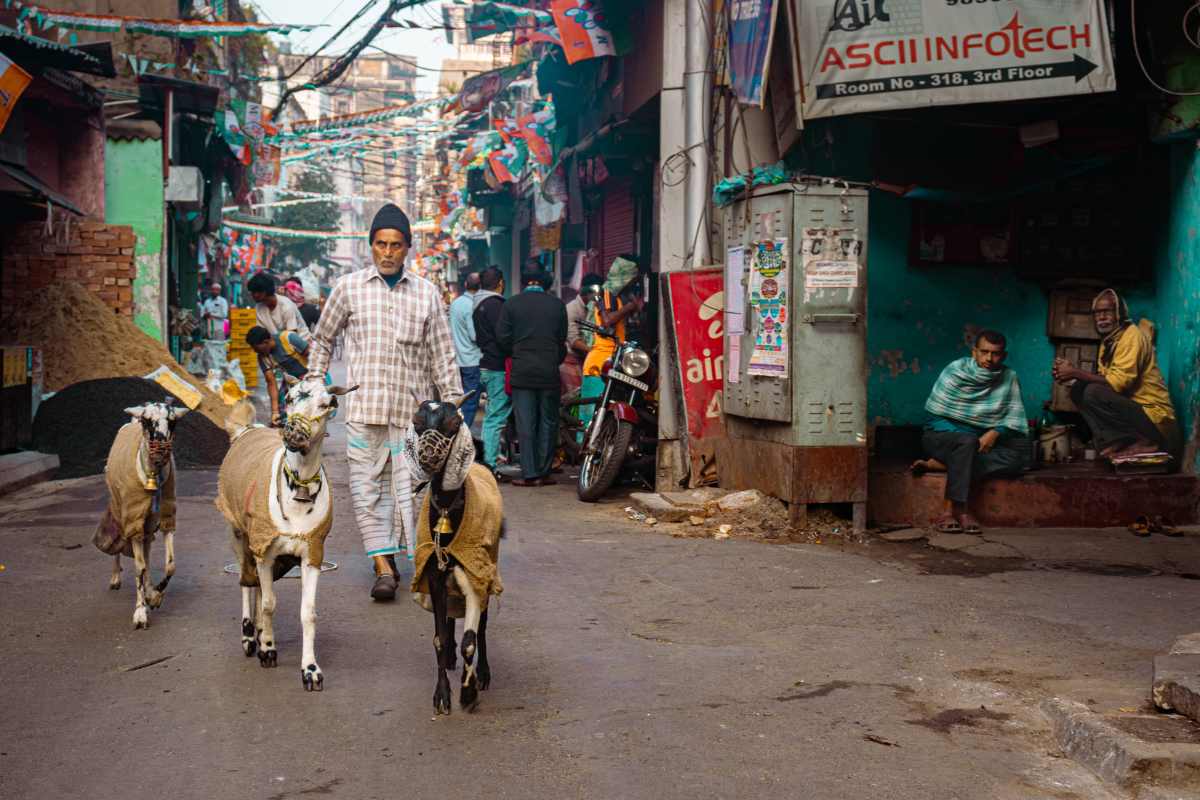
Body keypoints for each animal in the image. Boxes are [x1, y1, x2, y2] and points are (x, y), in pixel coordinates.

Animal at [217, 379, 355, 690]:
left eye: (327, 403)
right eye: (289, 397)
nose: (293, 432)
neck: (299, 488)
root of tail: (247, 429)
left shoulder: (313, 551)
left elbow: (308, 612)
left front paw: (310, 670)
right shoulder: (263, 547)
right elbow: (270, 603)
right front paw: (268, 649)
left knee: (257, 583)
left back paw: (256, 629)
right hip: (238, 532)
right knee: (247, 581)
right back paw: (249, 635)